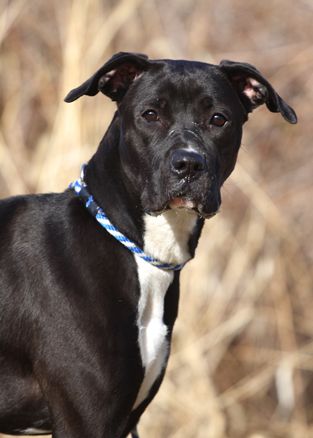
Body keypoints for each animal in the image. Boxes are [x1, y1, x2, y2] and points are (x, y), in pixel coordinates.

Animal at [0, 50, 296, 434]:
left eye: (218, 119)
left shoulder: (124, 419)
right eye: (150, 114)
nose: (188, 164)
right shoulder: (86, 420)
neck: (139, 253)